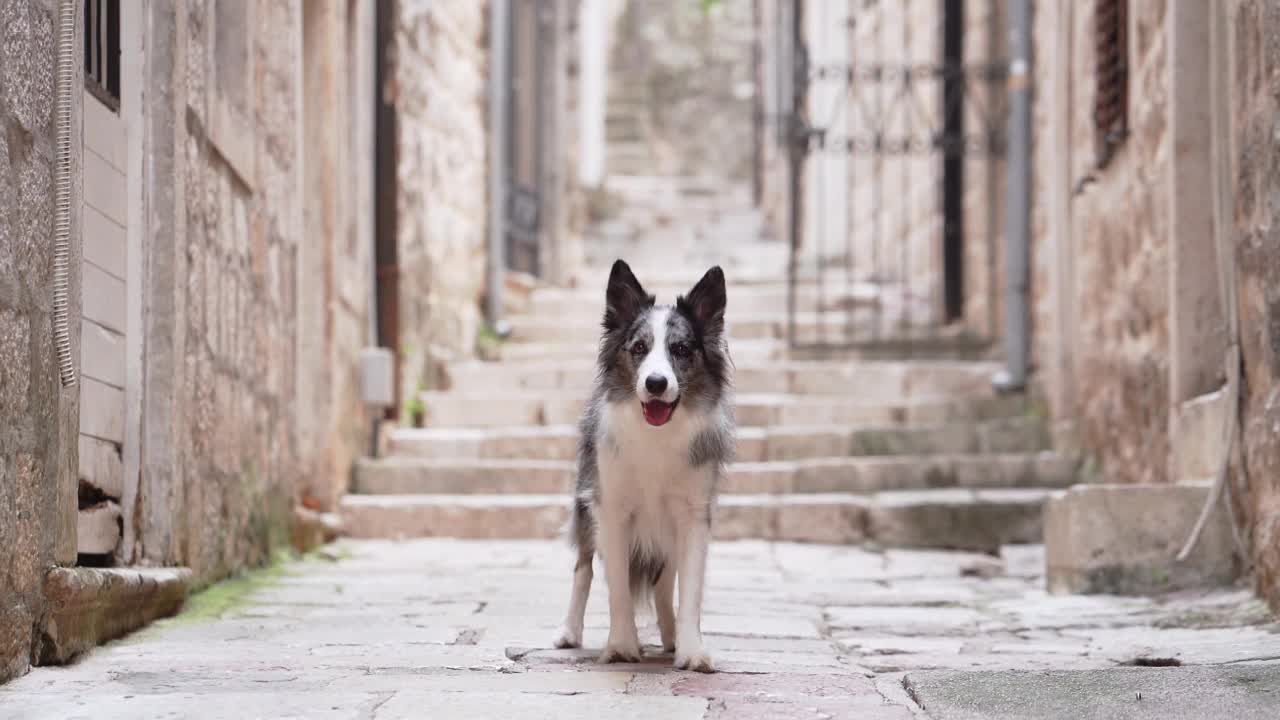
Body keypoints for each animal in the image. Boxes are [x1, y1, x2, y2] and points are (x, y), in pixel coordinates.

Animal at [555, 258, 737, 671]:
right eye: (639, 347)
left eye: (681, 349)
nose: (656, 383)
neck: (657, 434)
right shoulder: (612, 509)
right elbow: (618, 587)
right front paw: (622, 646)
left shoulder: (693, 514)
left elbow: (688, 591)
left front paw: (691, 650)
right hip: (586, 507)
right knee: (583, 569)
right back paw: (569, 632)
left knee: (663, 583)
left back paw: (670, 637)